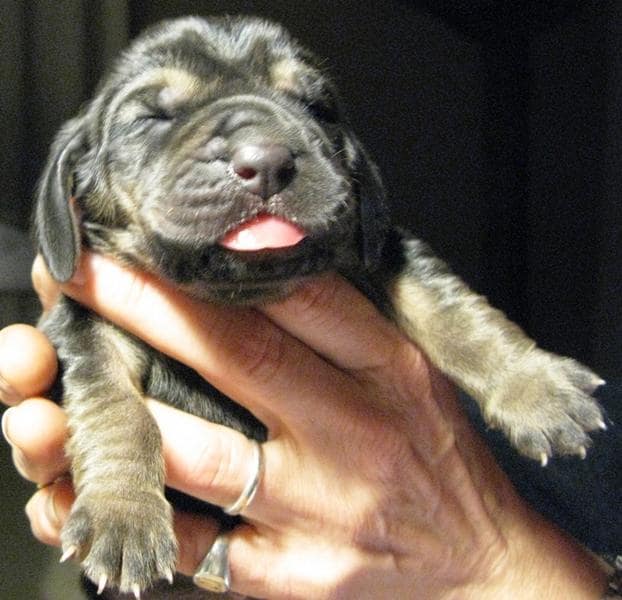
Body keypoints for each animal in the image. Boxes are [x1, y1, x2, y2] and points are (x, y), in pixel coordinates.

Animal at [35, 14, 604, 600]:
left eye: (315, 107)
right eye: (151, 118)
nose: (265, 159)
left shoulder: (381, 251)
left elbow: (451, 310)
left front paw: (535, 388)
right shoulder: (82, 321)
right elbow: (114, 407)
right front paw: (122, 514)